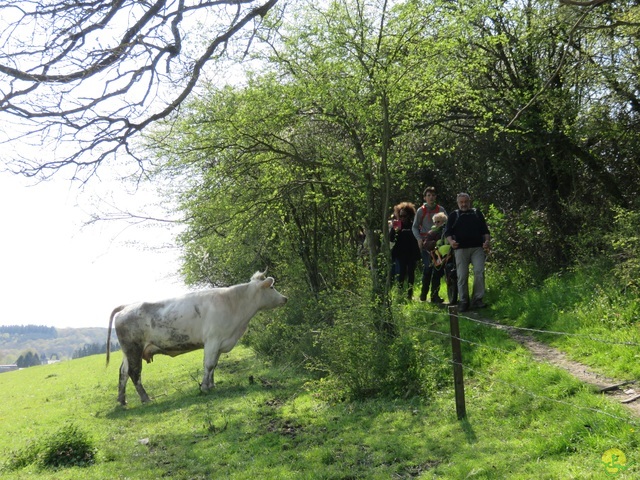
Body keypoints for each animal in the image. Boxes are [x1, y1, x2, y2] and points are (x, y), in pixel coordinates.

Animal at [106, 272, 286, 404]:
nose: (285, 298)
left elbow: (213, 365)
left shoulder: (219, 343)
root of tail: (127, 306)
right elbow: (209, 364)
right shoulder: (212, 340)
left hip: (128, 352)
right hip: (133, 348)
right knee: (134, 372)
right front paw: (205, 387)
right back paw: (145, 398)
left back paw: (122, 401)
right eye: (272, 287)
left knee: (123, 372)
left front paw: (212, 385)